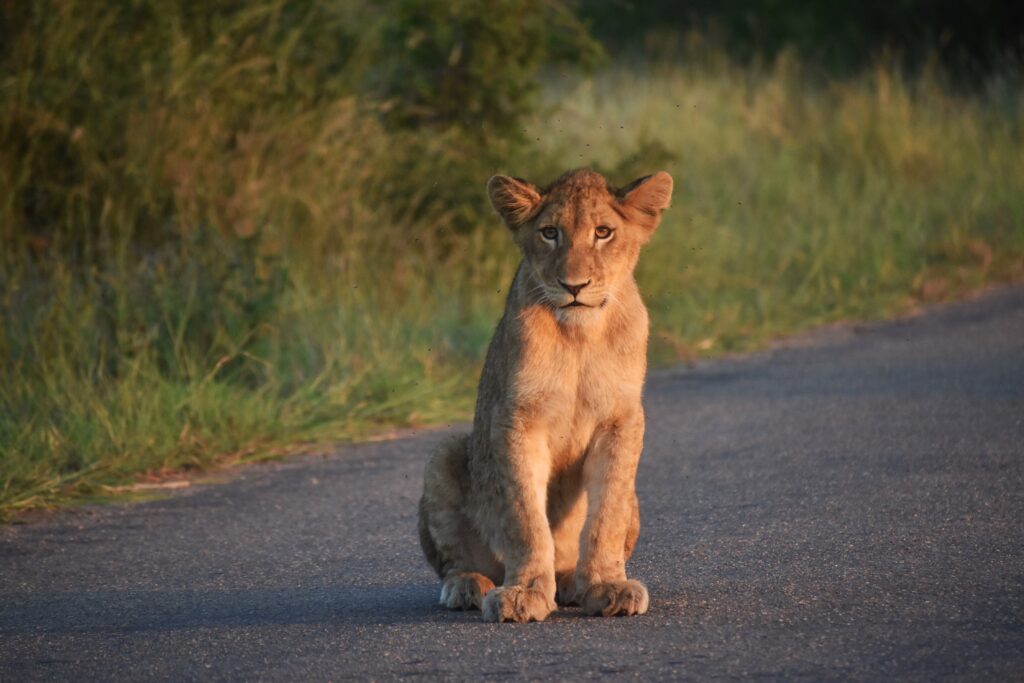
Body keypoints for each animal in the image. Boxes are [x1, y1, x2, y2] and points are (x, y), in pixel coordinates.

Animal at [418, 168, 673, 623]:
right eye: (550, 232)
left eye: (603, 232)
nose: (574, 286)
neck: (579, 337)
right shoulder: (516, 417)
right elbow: (525, 515)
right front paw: (524, 592)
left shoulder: (621, 419)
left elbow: (607, 512)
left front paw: (607, 585)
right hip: (445, 453)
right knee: (456, 561)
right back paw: (468, 585)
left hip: (637, 500)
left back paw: (573, 582)